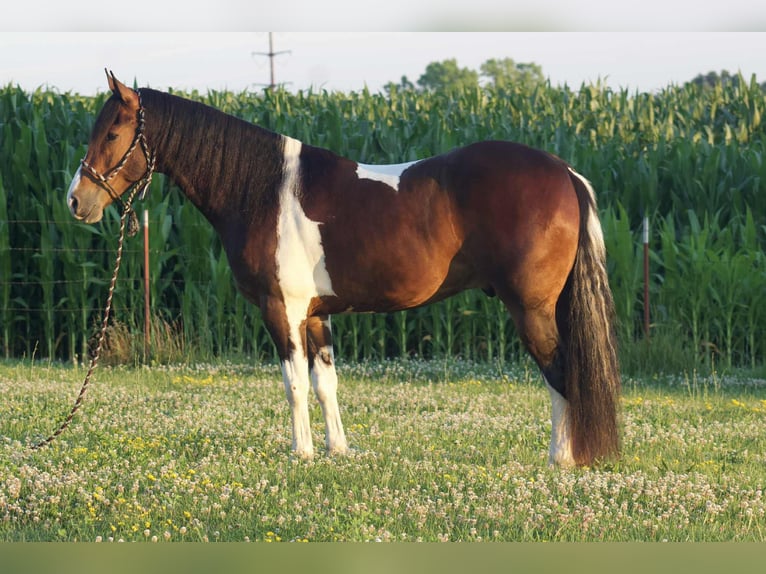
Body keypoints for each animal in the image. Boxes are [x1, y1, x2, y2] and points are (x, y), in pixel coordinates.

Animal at [67, 71, 620, 467]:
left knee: (560, 372)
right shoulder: (316, 313)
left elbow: (292, 384)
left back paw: (560, 459)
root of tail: (563, 171)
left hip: (532, 309)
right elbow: (324, 383)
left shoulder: (281, 310)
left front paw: (302, 453)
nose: (76, 201)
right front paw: (337, 450)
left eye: (113, 132)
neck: (262, 189)